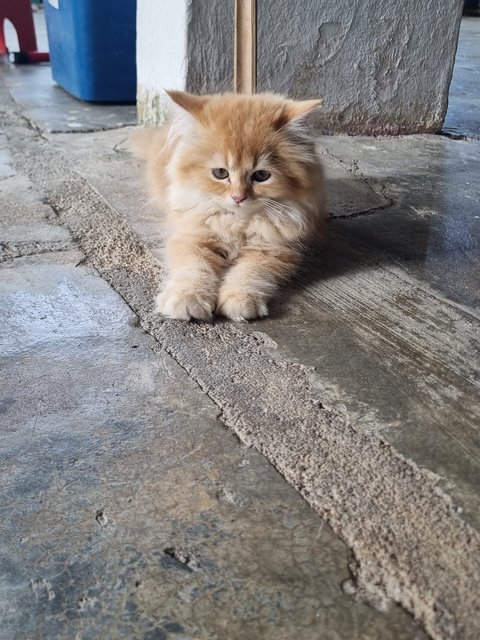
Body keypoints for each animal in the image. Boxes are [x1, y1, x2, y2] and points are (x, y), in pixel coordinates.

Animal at [132, 91, 326, 320]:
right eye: (220, 173)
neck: (237, 223)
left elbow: (249, 272)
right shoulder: (192, 236)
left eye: (262, 175)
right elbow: (194, 269)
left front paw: (240, 300)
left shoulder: (273, 249)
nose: (238, 197)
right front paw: (187, 298)